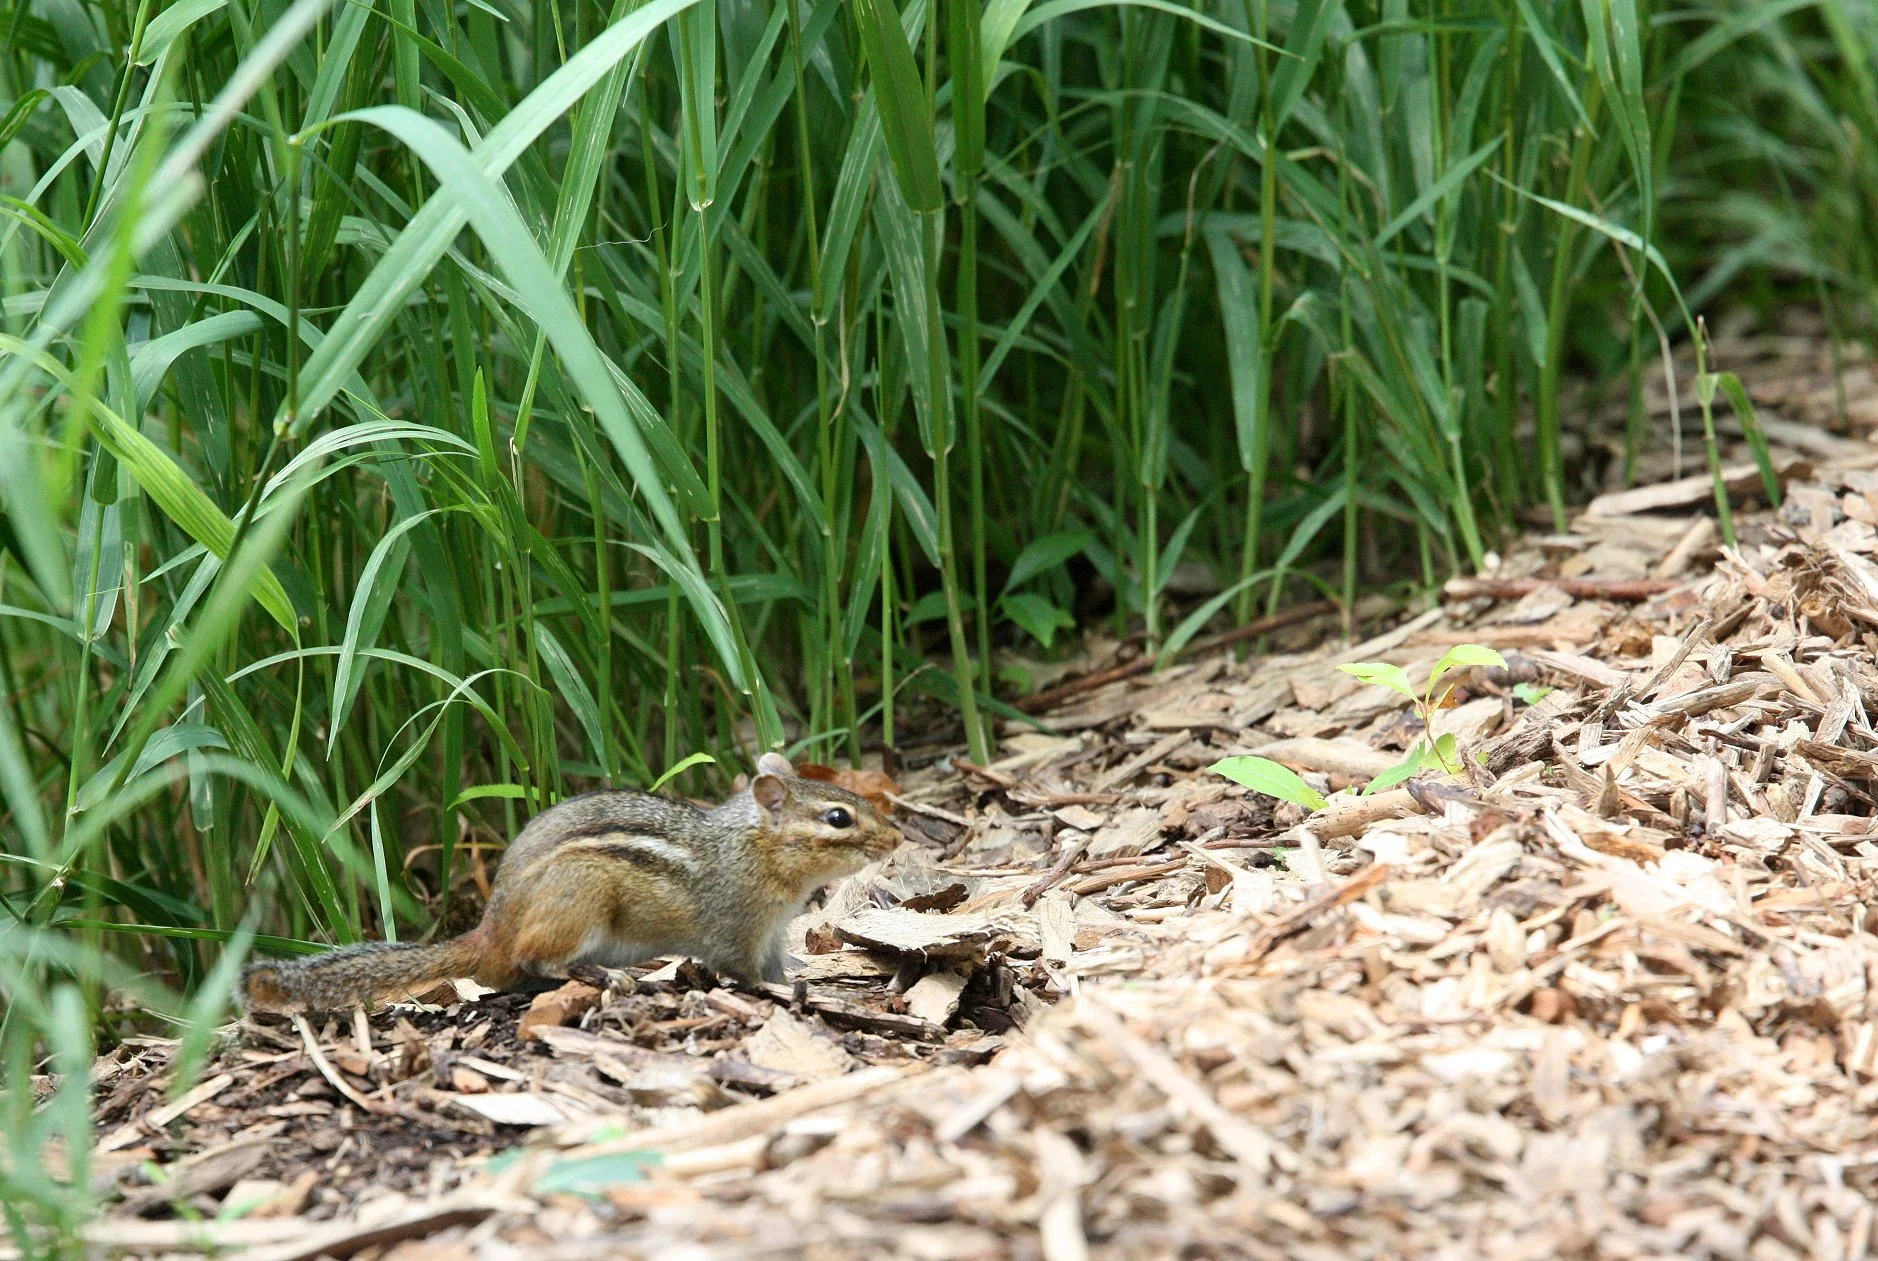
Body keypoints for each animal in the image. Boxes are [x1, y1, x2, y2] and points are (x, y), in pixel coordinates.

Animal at [241, 753, 901, 1012]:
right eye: (838, 818)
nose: (897, 839)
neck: (752, 851)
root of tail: (491, 929)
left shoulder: (770, 935)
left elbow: (777, 970)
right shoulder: (735, 929)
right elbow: (742, 973)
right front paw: (777, 997)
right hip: (580, 901)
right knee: (536, 962)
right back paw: (605, 976)